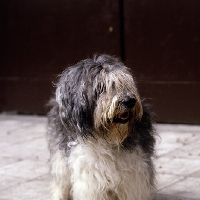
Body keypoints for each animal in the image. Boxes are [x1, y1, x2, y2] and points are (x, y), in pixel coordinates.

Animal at [47, 54, 156, 200]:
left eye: (124, 83)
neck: (108, 137)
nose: (130, 101)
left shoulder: (133, 174)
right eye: (101, 87)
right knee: (61, 177)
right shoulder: (90, 178)